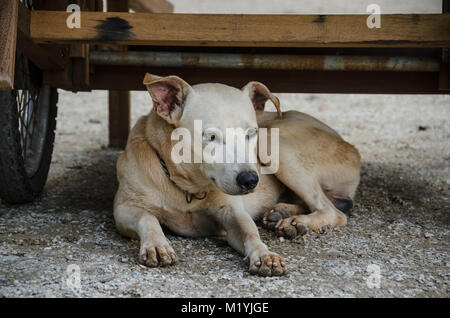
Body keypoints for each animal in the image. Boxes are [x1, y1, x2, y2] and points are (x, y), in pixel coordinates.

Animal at [114, 74, 360, 276]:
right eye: (211, 137)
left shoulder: (233, 214)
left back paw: (298, 221)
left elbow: (250, 232)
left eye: (250, 133)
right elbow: (148, 217)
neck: (189, 189)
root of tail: (349, 145)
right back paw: (283, 214)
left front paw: (264, 254)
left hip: (273, 142)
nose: (250, 180)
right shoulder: (124, 209)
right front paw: (157, 244)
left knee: (334, 211)